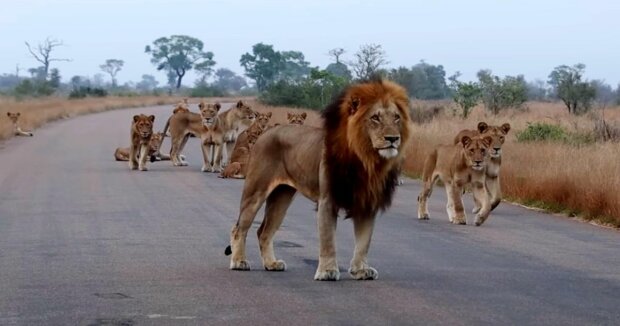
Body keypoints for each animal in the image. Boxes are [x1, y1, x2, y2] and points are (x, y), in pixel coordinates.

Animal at [224, 79, 412, 280]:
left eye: (396, 118)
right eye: (375, 118)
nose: (393, 138)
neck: (366, 159)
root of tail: (266, 132)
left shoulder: (367, 203)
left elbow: (364, 241)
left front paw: (361, 270)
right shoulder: (327, 200)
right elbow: (328, 240)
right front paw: (328, 271)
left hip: (282, 196)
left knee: (264, 231)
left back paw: (271, 264)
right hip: (256, 191)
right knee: (239, 228)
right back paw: (239, 262)